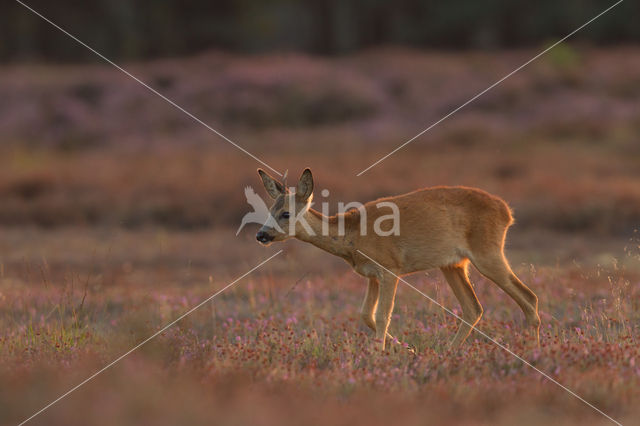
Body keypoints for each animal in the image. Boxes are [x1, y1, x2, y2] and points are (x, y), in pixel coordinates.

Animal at [255, 168, 540, 352]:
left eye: (285, 213)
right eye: (270, 209)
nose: (261, 234)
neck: (352, 235)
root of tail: (507, 211)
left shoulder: (390, 268)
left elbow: (383, 315)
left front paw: (379, 355)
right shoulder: (371, 274)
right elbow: (366, 314)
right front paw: (405, 348)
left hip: (488, 253)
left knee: (528, 297)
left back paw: (534, 351)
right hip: (453, 265)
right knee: (474, 308)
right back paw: (449, 352)